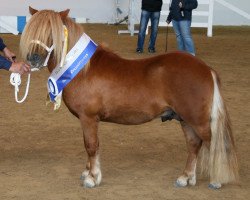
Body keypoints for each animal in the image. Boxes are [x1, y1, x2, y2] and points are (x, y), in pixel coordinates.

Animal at [20, 7, 238, 189]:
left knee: (214, 145)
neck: (81, 68)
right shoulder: (86, 120)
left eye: (51, 31)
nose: (33, 59)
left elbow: (91, 145)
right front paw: (87, 172)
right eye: (33, 30)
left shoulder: (89, 118)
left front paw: (92, 178)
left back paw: (215, 180)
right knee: (194, 145)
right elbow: (88, 145)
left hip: (198, 120)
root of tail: (206, 69)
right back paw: (185, 178)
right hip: (184, 119)